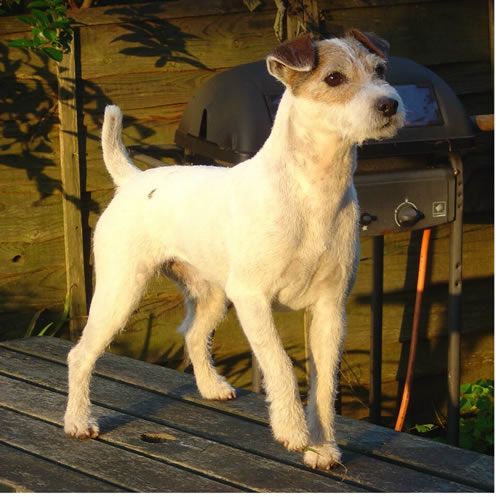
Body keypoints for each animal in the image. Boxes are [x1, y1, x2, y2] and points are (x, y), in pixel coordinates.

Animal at [64, 29, 404, 470]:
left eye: (380, 70)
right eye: (333, 79)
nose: (389, 103)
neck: (312, 192)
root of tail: (133, 180)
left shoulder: (330, 309)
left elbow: (324, 385)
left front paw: (322, 447)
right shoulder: (252, 298)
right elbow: (279, 363)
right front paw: (292, 430)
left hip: (212, 295)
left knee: (192, 333)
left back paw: (210, 386)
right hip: (121, 291)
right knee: (81, 354)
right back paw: (77, 420)